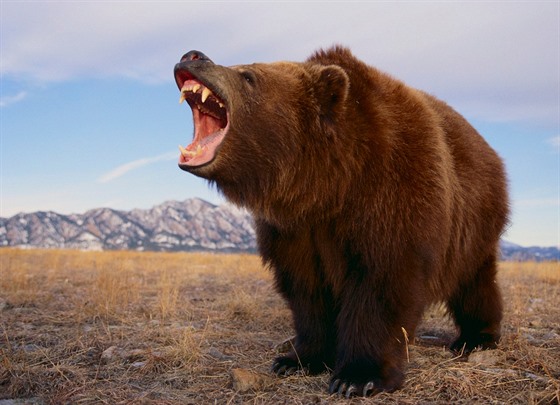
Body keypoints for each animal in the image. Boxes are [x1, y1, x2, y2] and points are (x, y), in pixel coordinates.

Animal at [174, 45, 508, 396]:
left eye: (248, 75)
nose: (194, 56)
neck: (328, 184)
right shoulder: (294, 229)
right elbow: (306, 291)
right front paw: (298, 359)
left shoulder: (392, 194)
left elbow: (382, 283)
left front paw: (357, 376)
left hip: (472, 222)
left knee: (474, 283)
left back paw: (477, 337)